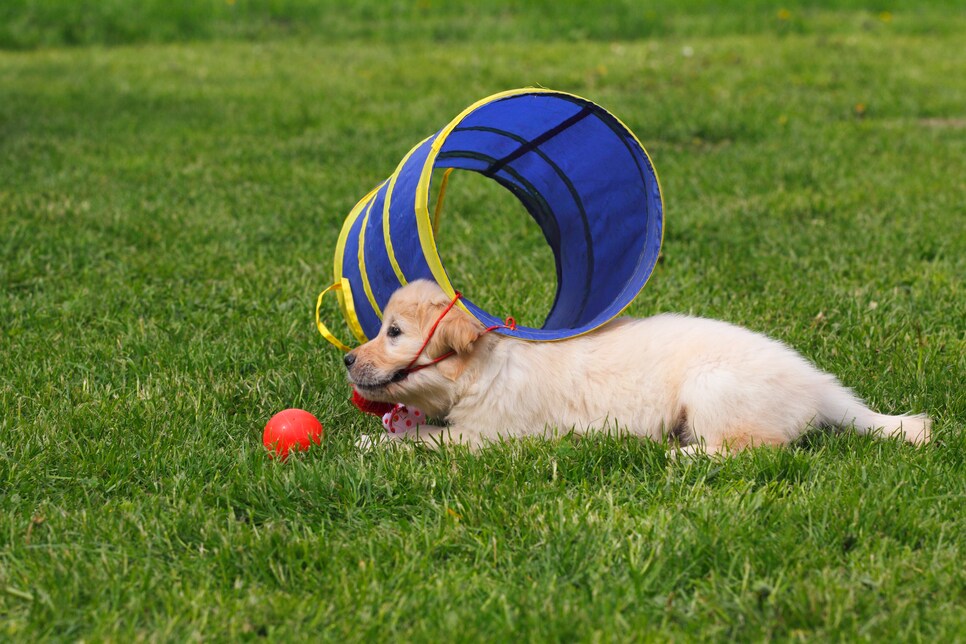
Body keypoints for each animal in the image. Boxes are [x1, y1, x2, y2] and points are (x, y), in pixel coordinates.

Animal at [344, 278, 932, 452]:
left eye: (394, 333)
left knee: (756, 450)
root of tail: (818, 385)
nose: (347, 358)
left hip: (715, 389)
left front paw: (376, 444)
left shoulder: (488, 436)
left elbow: (428, 442)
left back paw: (680, 456)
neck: (483, 367)